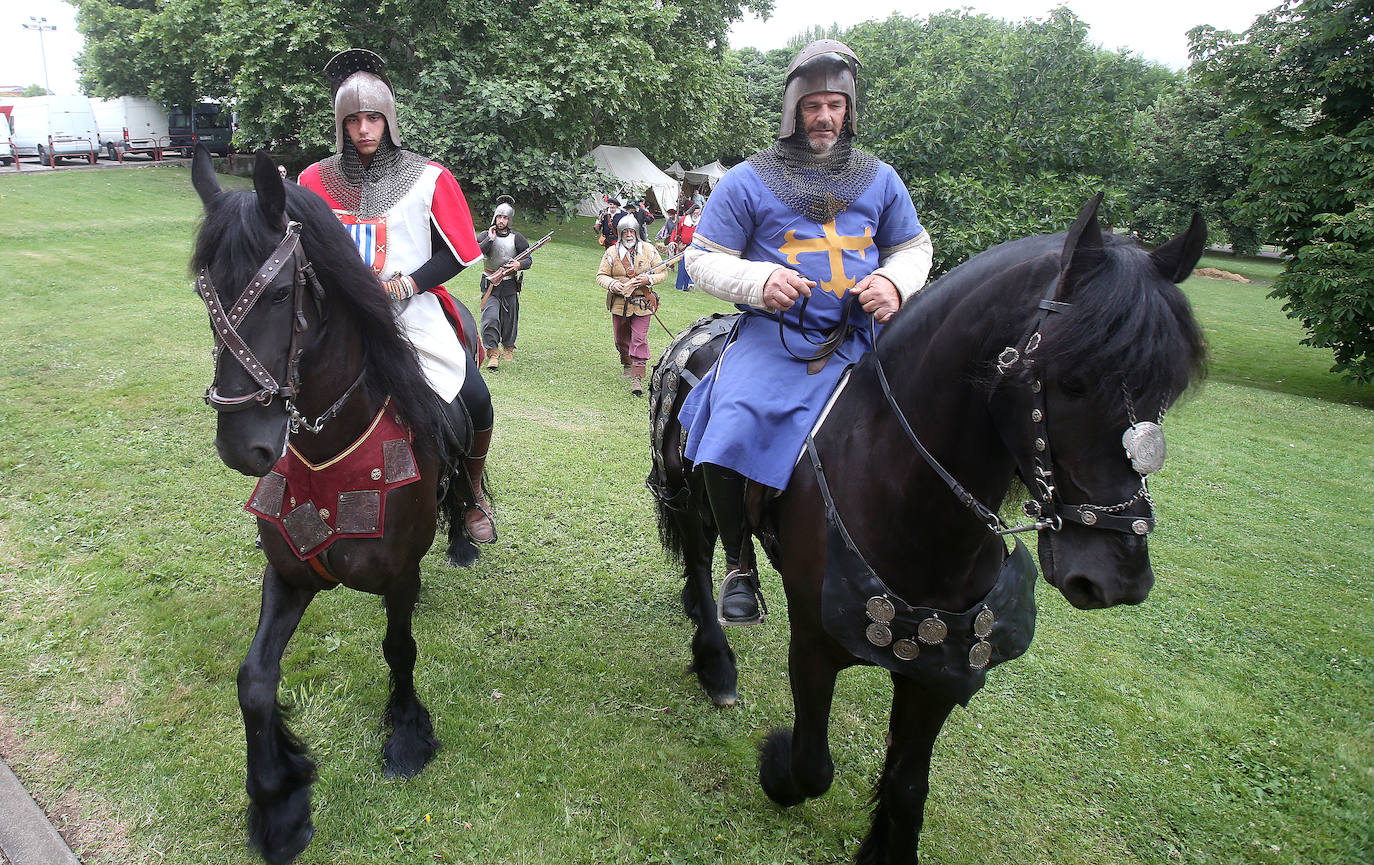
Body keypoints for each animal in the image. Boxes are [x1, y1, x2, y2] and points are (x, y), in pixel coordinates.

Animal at [185, 145, 480, 862]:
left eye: (280, 293)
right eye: (206, 297)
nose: (243, 447)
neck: (333, 436)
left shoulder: (398, 574)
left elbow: (399, 649)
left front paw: (407, 736)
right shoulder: (289, 574)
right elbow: (255, 680)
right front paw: (278, 802)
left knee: (468, 479)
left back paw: (465, 535)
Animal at [648, 197, 1209, 865]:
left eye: (1168, 390)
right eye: (1071, 380)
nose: (1117, 577)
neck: (904, 490)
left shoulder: (941, 667)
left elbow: (909, 784)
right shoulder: (814, 643)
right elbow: (813, 766)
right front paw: (775, 768)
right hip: (692, 503)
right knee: (704, 563)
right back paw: (717, 658)